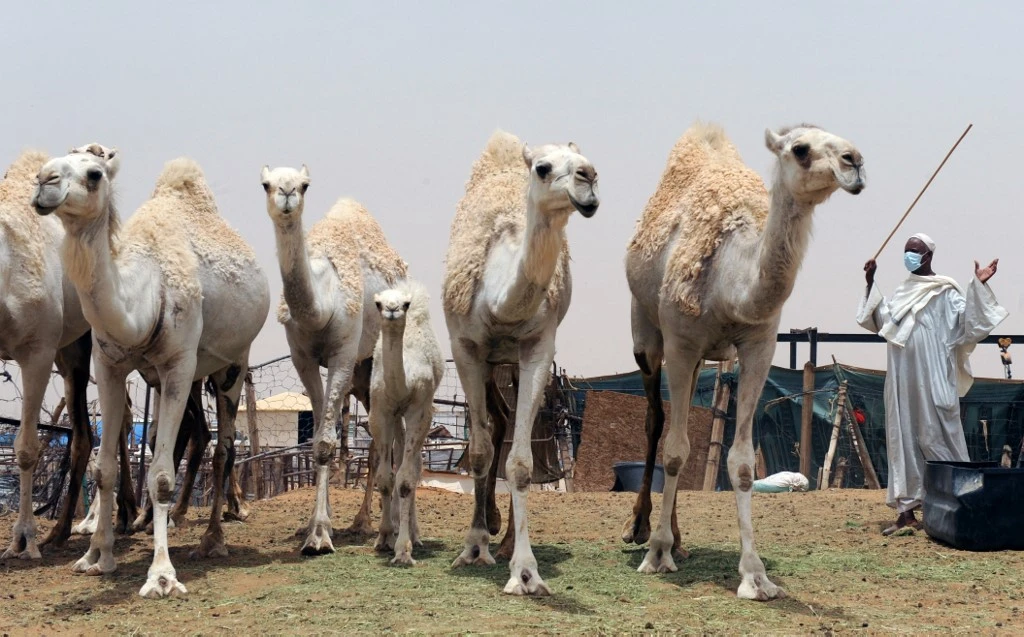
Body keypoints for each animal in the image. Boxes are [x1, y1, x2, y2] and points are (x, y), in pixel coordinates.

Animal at [32, 150, 270, 598]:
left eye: (93, 173)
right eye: (49, 166)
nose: (43, 182)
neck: (144, 296)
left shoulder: (178, 364)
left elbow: (159, 475)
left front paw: (161, 576)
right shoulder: (109, 365)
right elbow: (104, 466)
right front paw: (95, 556)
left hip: (233, 362)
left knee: (225, 447)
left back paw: (213, 539)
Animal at [260, 165, 407, 555]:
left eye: (305, 185)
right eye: (265, 183)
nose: (286, 193)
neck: (321, 306)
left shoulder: (343, 353)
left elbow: (327, 443)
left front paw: (319, 536)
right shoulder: (303, 356)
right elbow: (318, 440)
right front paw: (317, 524)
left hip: (374, 360)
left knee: (386, 438)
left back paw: (380, 525)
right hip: (362, 375)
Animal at [369, 281, 444, 565]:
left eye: (406, 304)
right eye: (378, 303)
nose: (392, 309)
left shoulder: (418, 410)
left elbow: (405, 480)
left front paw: (403, 549)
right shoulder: (380, 411)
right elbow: (384, 478)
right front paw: (383, 537)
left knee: (414, 466)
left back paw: (415, 534)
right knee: (401, 456)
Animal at [442, 131, 599, 595]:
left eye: (585, 160)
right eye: (543, 168)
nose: (589, 178)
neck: (499, 303)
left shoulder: (536, 347)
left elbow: (523, 463)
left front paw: (526, 572)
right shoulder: (466, 347)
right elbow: (478, 450)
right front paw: (474, 547)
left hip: (510, 364)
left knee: (508, 429)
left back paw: (507, 537)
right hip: (489, 364)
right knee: (492, 427)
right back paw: (489, 530)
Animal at [623, 122, 865, 600]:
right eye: (801, 148)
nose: (855, 162)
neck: (730, 280)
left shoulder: (759, 345)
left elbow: (741, 462)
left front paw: (755, 576)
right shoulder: (681, 341)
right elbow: (675, 450)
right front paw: (656, 553)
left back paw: (680, 540)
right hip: (646, 331)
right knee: (655, 422)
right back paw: (641, 530)